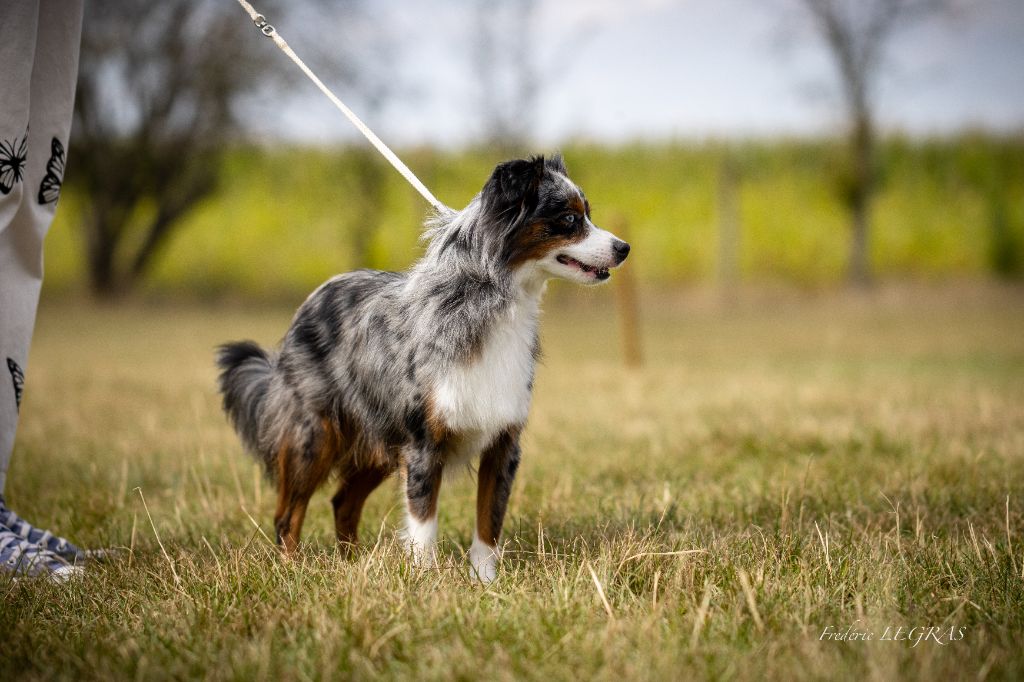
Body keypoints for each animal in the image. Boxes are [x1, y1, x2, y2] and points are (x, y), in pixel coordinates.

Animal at [217, 153, 626, 577]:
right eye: (570, 219)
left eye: (589, 214)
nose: (624, 248)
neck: (489, 301)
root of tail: (308, 305)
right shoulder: (424, 443)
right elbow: (423, 522)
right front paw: (424, 578)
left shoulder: (502, 442)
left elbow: (488, 522)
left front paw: (485, 580)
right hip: (314, 437)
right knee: (289, 513)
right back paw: (293, 569)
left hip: (377, 440)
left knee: (343, 502)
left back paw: (352, 563)